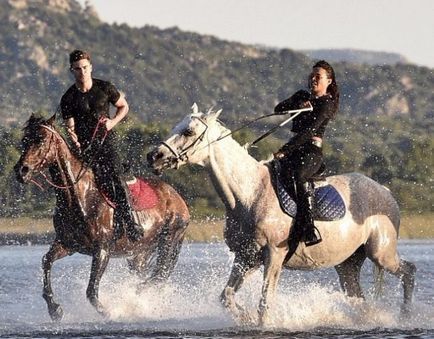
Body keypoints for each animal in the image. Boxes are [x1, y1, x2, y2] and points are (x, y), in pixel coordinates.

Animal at [14, 114, 188, 322]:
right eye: (24, 140)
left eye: (40, 139)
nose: (21, 170)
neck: (80, 197)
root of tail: (178, 198)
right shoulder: (68, 244)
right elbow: (46, 261)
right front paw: (54, 309)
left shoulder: (102, 250)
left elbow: (91, 290)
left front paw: (108, 312)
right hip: (141, 252)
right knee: (150, 275)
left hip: (169, 240)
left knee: (159, 275)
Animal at [147, 104, 416, 326]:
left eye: (188, 132)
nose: (154, 156)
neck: (251, 194)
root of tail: (385, 192)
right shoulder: (246, 257)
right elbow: (227, 297)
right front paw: (244, 316)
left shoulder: (274, 255)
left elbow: (264, 305)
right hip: (347, 264)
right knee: (360, 299)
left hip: (381, 254)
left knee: (409, 271)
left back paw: (405, 316)